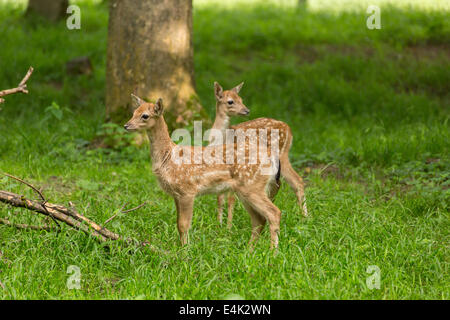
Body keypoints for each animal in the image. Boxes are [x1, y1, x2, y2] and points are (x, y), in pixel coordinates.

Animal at [125, 95, 284, 250]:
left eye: (145, 116)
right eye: (134, 112)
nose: (126, 125)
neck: (168, 157)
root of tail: (272, 158)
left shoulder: (187, 191)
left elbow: (184, 225)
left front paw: (185, 251)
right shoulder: (176, 194)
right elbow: (178, 224)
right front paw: (182, 248)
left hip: (252, 186)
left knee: (274, 213)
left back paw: (272, 253)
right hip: (245, 190)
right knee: (258, 219)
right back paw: (249, 251)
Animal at [208, 81, 308, 229]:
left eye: (241, 99)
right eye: (230, 101)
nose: (247, 110)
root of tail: (289, 129)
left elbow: (230, 198)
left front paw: (228, 228)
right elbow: (220, 198)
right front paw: (218, 224)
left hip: (281, 155)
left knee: (296, 181)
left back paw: (304, 218)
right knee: (282, 183)